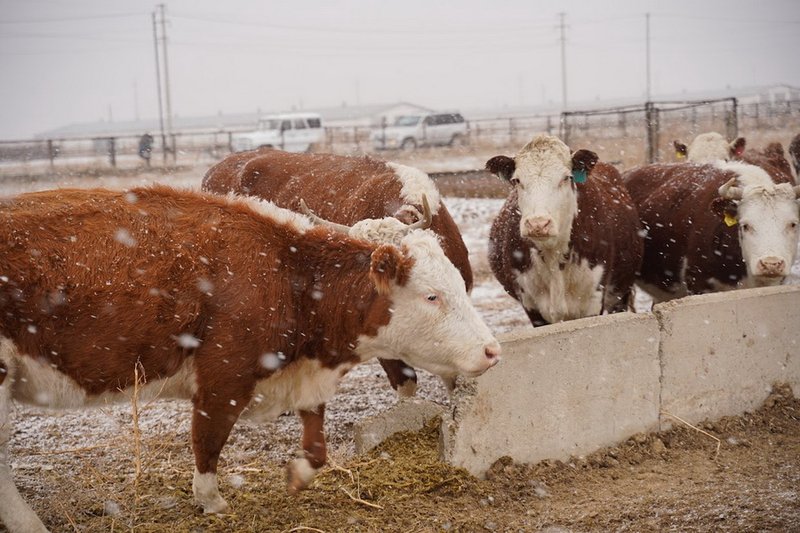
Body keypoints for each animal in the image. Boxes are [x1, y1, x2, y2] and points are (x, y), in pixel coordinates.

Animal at [0, 185, 500, 528]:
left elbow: (316, 442)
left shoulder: (302, 373)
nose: (492, 350)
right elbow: (208, 442)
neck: (288, 271)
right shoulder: (223, 378)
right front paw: (211, 500)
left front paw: (297, 474)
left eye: (458, 281)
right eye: (432, 296)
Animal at [482, 135, 644, 326]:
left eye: (566, 177)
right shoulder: (531, 306)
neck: (554, 254)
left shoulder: (594, 301)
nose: (538, 223)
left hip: (620, 294)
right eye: (517, 180)